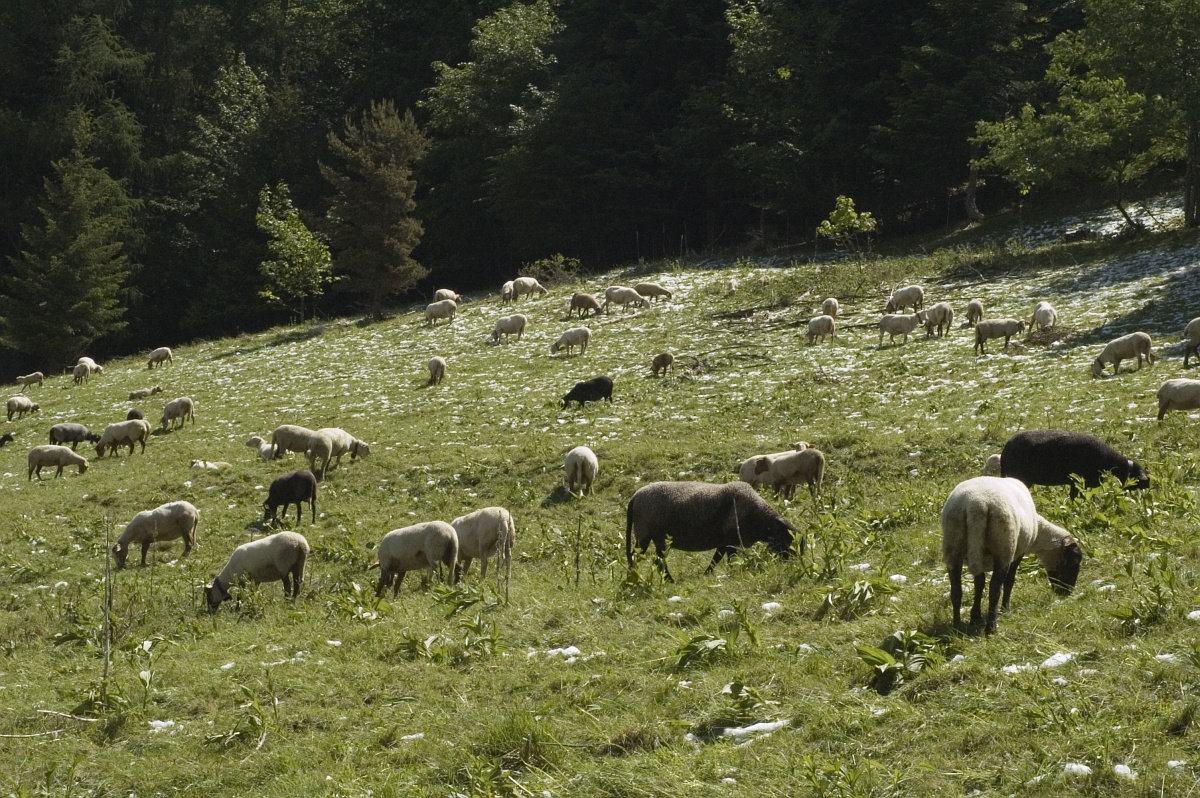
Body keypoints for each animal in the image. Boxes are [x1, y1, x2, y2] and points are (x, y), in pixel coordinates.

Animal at [625, 481, 799, 581]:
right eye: (787, 539)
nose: (793, 563)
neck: (757, 516)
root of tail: (634, 497)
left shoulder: (724, 542)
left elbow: (715, 560)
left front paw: (706, 575)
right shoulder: (731, 542)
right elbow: (730, 561)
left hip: (658, 538)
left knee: (658, 560)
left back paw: (668, 580)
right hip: (644, 534)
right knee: (637, 557)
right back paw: (635, 578)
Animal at [941, 476, 1082, 634]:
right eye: (1074, 561)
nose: (1067, 593)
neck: (1038, 532)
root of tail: (976, 506)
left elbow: (979, 584)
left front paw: (975, 617)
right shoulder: (1018, 552)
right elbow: (1009, 581)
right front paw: (1004, 609)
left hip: (953, 545)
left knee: (956, 591)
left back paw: (956, 626)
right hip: (1004, 546)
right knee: (995, 588)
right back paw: (991, 627)